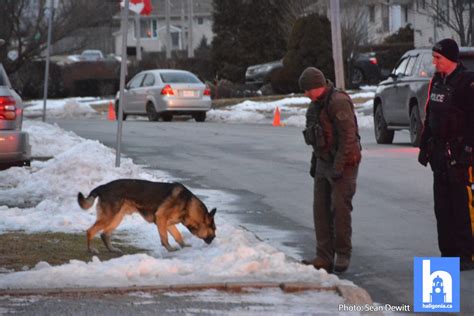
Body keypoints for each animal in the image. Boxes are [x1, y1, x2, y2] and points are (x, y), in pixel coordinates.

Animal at [78, 180, 217, 254]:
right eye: (214, 229)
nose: (215, 238)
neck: (188, 205)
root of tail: (103, 187)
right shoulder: (161, 218)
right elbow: (165, 237)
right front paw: (169, 248)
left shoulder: (167, 223)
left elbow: (178, 235)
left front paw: (183, 246)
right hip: (109, 217)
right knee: (90, 231)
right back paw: (91, 249)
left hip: (117, 217)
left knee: (104, 234)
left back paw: (112, 249)